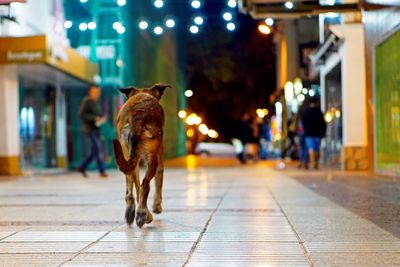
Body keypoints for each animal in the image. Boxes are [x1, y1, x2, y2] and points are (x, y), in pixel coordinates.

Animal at [112, 84, 170, 228]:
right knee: (145, 184)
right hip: (152, 158)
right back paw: (143, 214)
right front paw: (157, 206)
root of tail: (138, 113)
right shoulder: (159, 156)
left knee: (133, 188)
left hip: (127, 153)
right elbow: (159, 178)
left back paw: (133, 212)